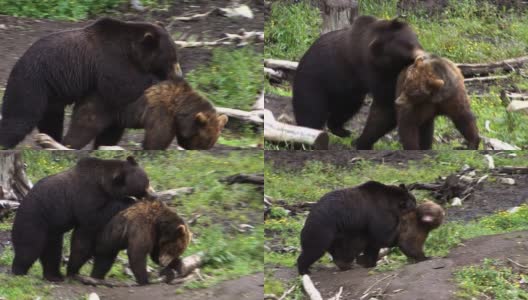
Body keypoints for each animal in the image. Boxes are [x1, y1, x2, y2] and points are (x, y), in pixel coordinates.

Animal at [0, 17, 179, 149]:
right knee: (20, 118)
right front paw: (157, 80)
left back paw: (51, 140)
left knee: (51, 119)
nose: (178, 74)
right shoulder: (110, 61)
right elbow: (122, 87)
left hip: (51, 94)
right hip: (32, 84)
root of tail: (16, 64)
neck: (130, 50)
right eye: (171, 58)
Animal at [10, 156, 155, 282]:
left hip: (52, 231)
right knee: (29, 248)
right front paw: (129, 201)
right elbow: (94, 217)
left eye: (147, 180)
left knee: (52, 253)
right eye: (146, 184)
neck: (103, 184)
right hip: (35, 220)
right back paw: (19, 271)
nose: (152, 195)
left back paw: (54, 276)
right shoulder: (86, 195)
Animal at [62, 78, 227, 149]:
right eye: (205, 139)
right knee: (84, 127)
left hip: (114, 114)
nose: (201, 149)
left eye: (213, 140)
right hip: (100, 104)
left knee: (110, 133)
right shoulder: (161, 110)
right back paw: (67, 146)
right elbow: (158, 135)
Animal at [290, 15, 422, 149]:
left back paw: (341, 130)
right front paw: (361, 141)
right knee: (311, 112)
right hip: (313, 82)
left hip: (346, 92)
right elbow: (385, 106)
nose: (419, 57)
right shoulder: (374, 71)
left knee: (345, 108)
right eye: (407, 46)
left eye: (411, 42)